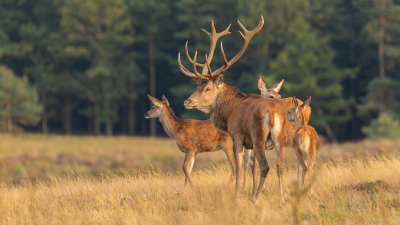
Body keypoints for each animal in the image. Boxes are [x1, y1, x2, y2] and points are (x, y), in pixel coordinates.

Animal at [177, 16, 288, 201]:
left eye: (207, 88)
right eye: (197, 86)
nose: (187, 101)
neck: (229, 114)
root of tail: (273, 113)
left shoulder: (237, 136)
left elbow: (238, 167)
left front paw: (237, 195)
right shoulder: (248, 144)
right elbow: (249, 167)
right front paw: (246, 191)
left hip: (258, 136)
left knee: (266, 166)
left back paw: (256, 198)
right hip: (280, 138)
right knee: (279, 166)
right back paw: (281, 197)